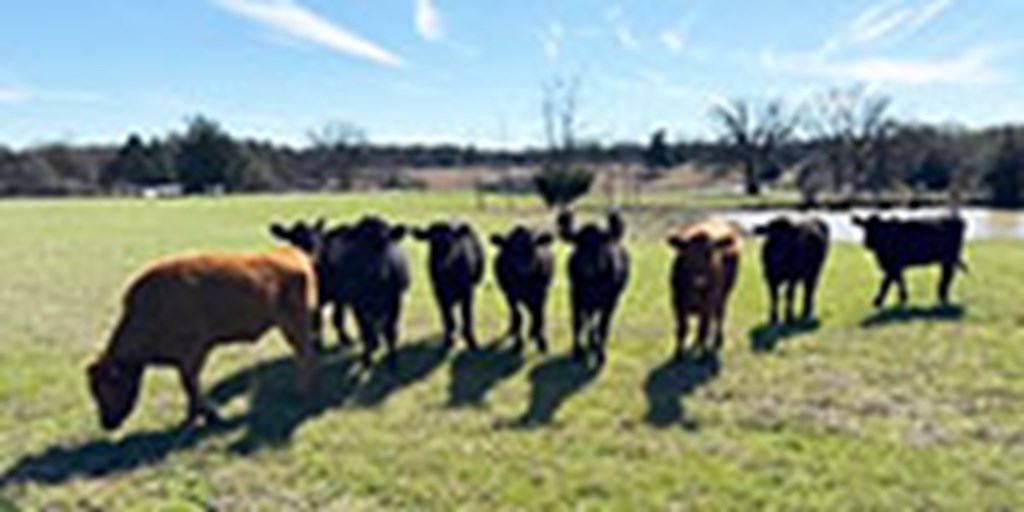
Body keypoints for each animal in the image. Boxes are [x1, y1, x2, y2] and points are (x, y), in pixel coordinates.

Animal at [88, 245, 319, 430]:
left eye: (111, 385)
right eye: (94, 391)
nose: (106, 423)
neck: (151, 309)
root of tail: (290, 252)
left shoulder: (193, 354)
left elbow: (191, 384)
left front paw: (208, 416)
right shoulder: (186, 359)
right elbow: (189, 386)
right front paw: (194, 416)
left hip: (294, 325)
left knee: (305, 354)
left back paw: (303, 393)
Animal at [411, 222, 483, 350]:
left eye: (449, 243)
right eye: (432, 242)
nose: (440, 264)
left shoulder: (467, 291)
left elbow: (467, 315)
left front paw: (471, 340)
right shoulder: (439, 293)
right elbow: (447, 318)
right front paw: (448, 340)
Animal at [557, 208, 626, 364]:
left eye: (601, 243)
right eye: (578, 243)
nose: (587, 265)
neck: (593, 283)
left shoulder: (610, 301)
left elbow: (603, 326)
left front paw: (600, 354)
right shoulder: (574, 295)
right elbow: (577, 322)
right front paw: (577, 350)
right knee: (588, 320)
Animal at [667, 221, 741, 360]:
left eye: (710, 252)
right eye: (688, 253)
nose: (700, 279)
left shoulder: (707, 304)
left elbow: (703, 330)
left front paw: (703, 354)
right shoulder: (677, 302)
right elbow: (682, 329)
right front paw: (678, 353)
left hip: (725, 294)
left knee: (719, 315)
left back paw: (718, 339)